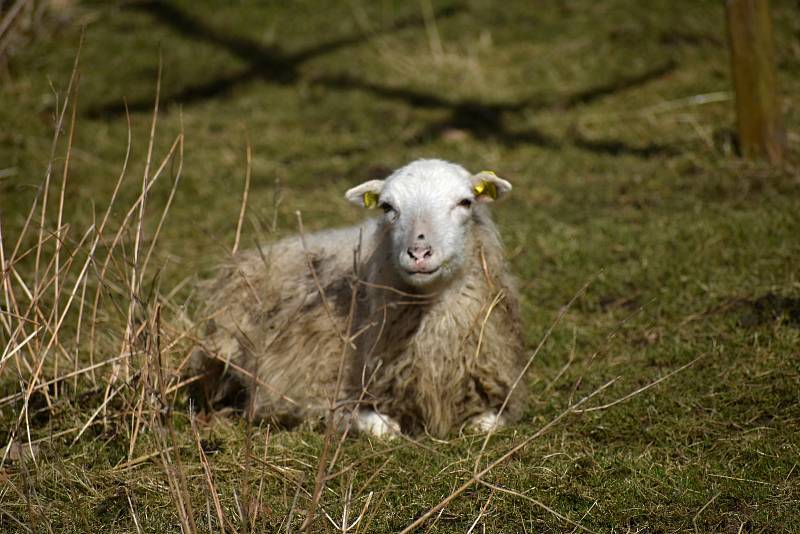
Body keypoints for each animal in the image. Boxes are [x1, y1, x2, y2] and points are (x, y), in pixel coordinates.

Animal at [188, 159, 524, 440]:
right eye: (387, 207)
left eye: (465, 202)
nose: (418, 253)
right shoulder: (311, 388)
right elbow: (380, 427)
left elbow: (488, 424)